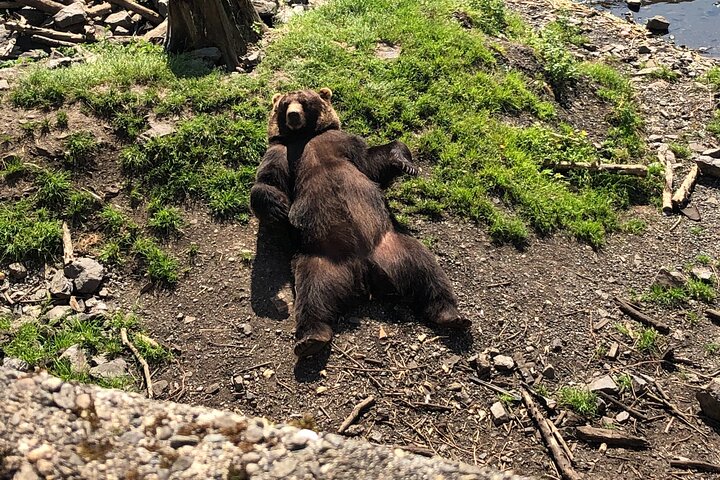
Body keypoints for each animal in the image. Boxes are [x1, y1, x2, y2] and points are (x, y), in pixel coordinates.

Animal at [250, 88, 470, 358]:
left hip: (394, 245)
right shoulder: (281, 153)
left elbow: (373, 160)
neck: (305, 137)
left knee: (427, 271)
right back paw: (310, 338)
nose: (293, 115)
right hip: (320, 258)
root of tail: (365, 268)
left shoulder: (342, 143)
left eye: (304, 101)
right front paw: (279, 209)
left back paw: (453, 315)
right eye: (284, 105)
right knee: (312, 294)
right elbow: (269, 181)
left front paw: (407, 164)